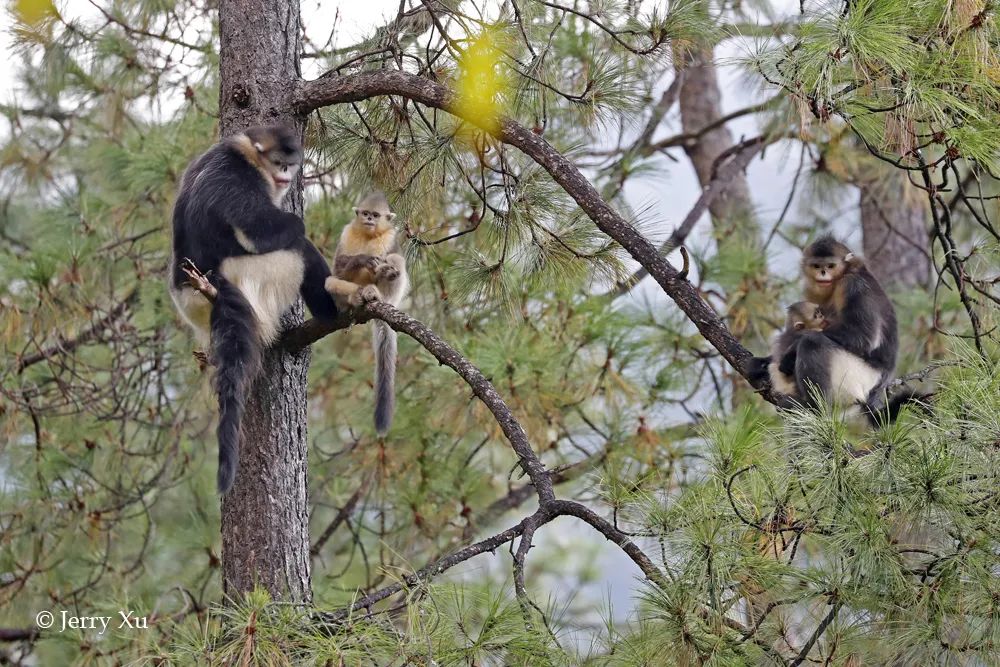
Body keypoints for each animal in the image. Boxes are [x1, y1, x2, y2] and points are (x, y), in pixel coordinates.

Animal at [171, 125, 340, 494]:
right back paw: (333, 309)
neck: (246, 154)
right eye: (278, 162)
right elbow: (258, 228)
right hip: (257, 276)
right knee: (297, 248)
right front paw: (296, 224)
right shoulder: (236, 176)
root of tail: (199, 285)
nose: (285, 174)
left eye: (290, 164)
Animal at [326, 190, 408, 436]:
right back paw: (357, 297)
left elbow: (393, 257)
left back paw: (375, 293)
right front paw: (360, 260)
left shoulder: (391, 237)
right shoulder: (345, 233)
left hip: (390, 296)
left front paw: (383, 270)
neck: (368, 235)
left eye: (376, 215)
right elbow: (338, 269)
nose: (369, 219)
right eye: (365, 213)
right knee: (330, 281)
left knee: (396, 260)